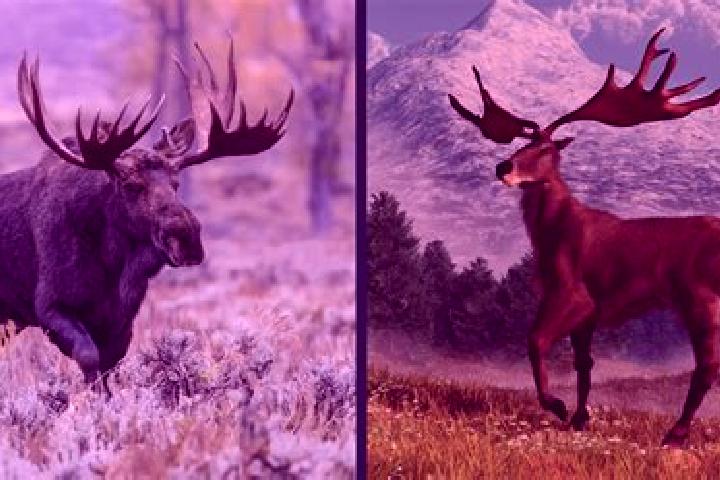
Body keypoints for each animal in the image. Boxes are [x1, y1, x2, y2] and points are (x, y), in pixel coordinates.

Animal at [0, 39, 292, 394]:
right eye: (131, 185)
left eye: (176, 183)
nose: (187, 238)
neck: (112, 266)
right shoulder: (49, 306)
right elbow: (89, 358)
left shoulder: (121, 320)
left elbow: (109, 367)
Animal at [448, 29, 720, 446]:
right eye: (520, 145)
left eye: (546, 149)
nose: (502, 166)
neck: (553, 232)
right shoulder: (586, 313)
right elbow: (584, 365)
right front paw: (579, 418)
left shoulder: (573, 293)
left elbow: (534, 341)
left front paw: (557, 406)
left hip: (701, 298)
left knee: (707, 366)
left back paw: (675, 434)